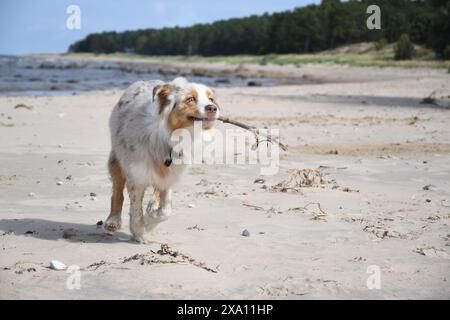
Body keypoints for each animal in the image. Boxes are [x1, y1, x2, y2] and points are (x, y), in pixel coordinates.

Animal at [103, 78, 220, 242]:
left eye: (211, 99)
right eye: (190, 99)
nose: (212, 108)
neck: (171, 138)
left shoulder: (171, 174)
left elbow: (165, 211)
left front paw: (150, 221)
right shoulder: (136, 175)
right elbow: (136, 209)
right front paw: (139, 232)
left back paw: (152, 205)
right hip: (117, 159)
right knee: (117, 190)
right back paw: (113, 220)